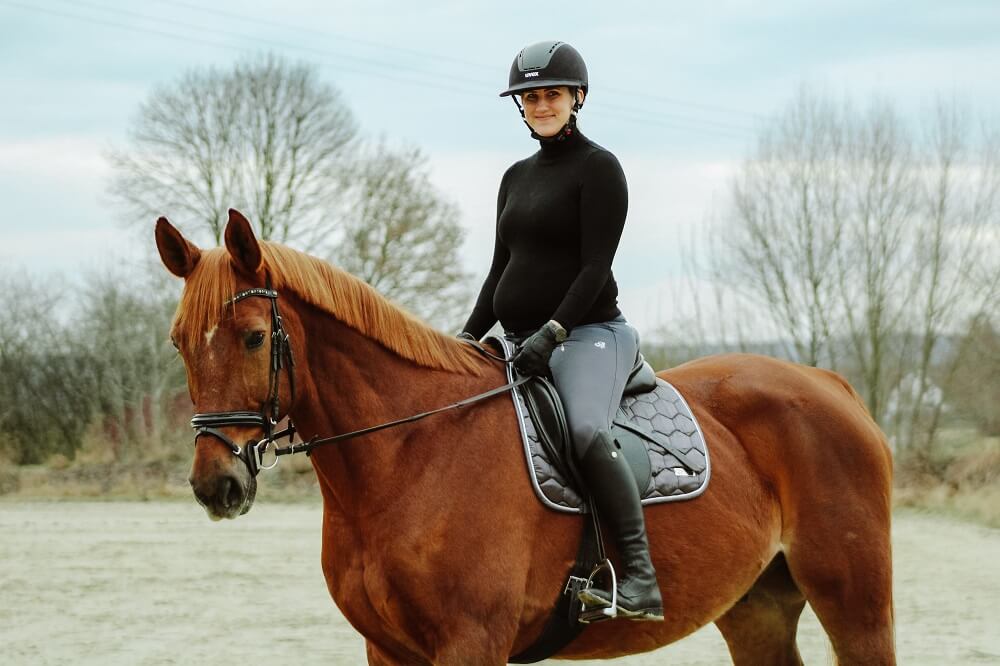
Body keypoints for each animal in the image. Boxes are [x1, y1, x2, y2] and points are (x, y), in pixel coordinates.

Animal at [158, 209, 900, 664]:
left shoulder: (471, 643)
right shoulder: (387, 649)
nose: (215, 484)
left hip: (855, 603)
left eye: (255, 338)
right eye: (178, 342)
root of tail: (830, 384)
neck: (409, 455)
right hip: (757, 608)